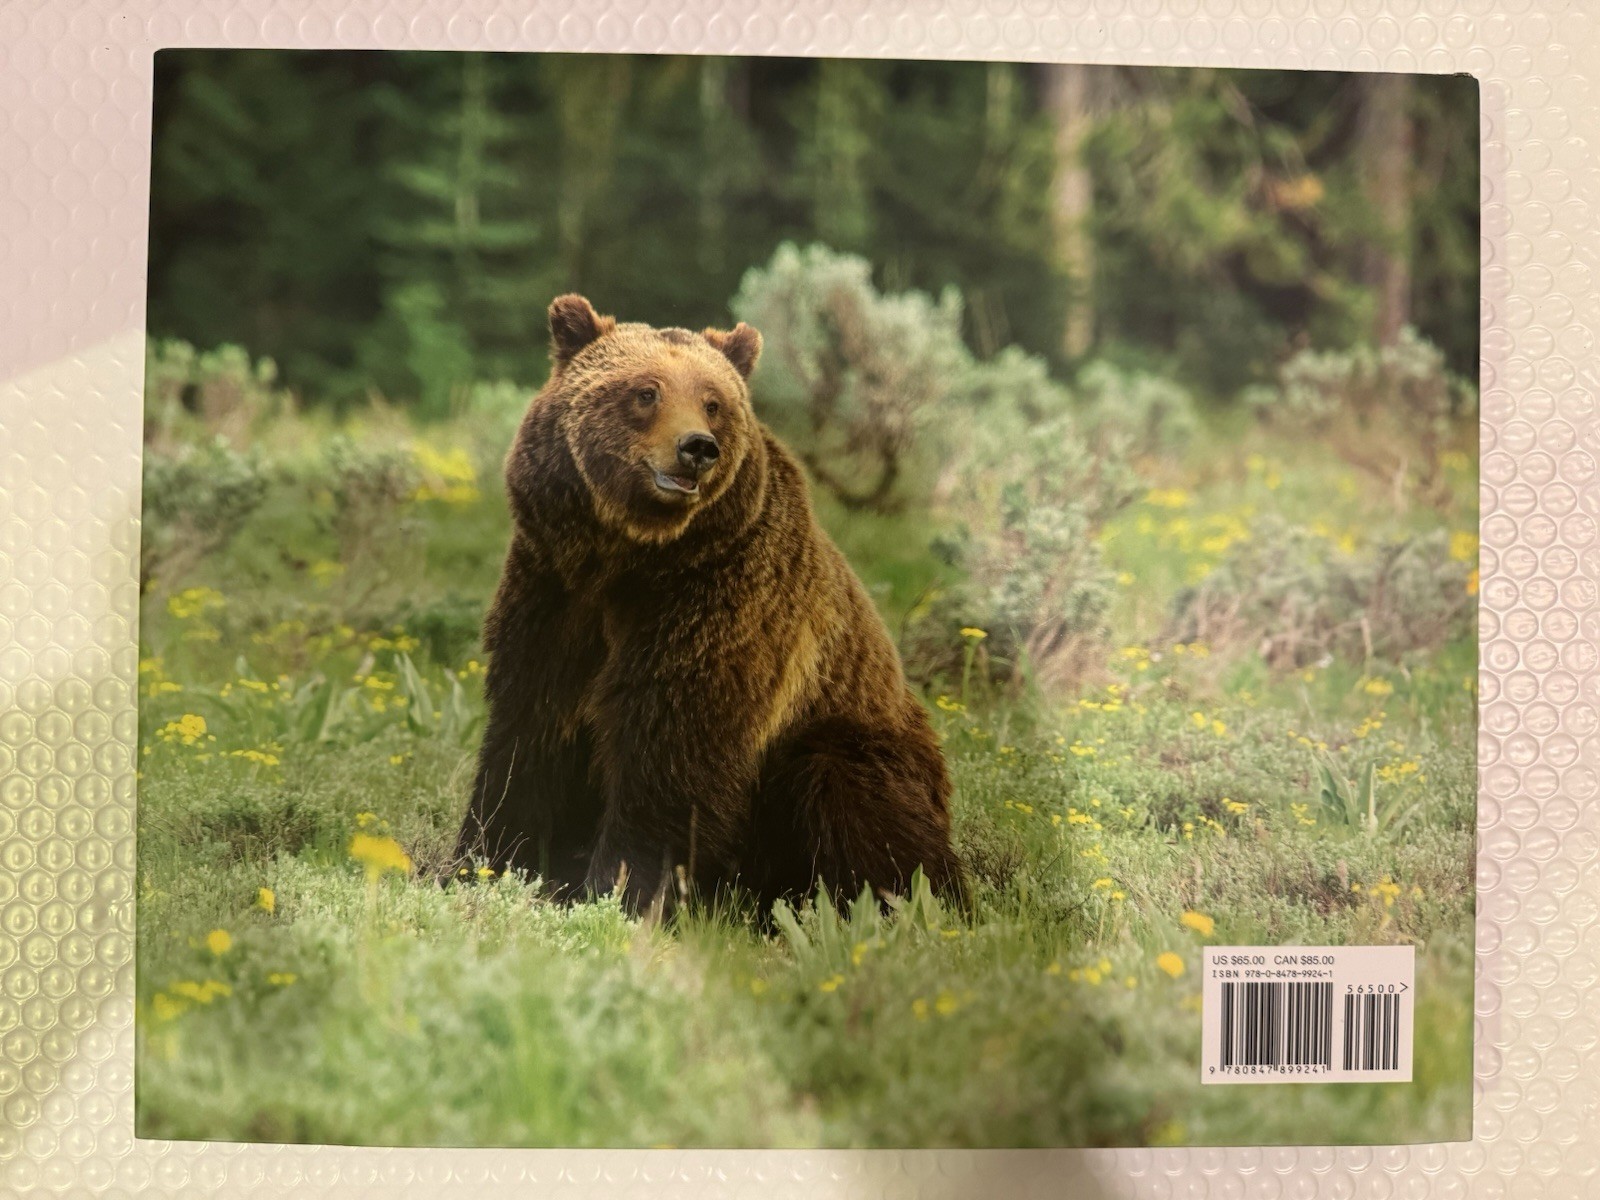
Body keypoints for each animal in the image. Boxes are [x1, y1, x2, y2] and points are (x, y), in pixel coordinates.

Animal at [453, 294, 964, 915]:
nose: (697, 447)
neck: (630, 557)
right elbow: (527, 733)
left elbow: (672, 749)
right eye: (646, 391)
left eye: (713, 402)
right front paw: (485, 862)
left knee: (853, 801)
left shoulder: (715, 606)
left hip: (853, 738)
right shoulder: (552, 590)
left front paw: (622, 889)